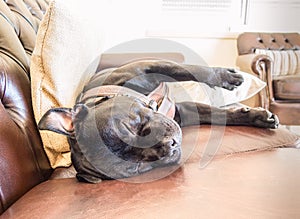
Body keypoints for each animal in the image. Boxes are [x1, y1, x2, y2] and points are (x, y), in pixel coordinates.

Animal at [38, 59, 278, 182]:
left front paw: (226, 79)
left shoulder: (150, 66)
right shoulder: (184, 112)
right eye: (134, 168)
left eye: (127, 126)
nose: (169, 146)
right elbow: (217, 115)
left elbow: (190, 70)